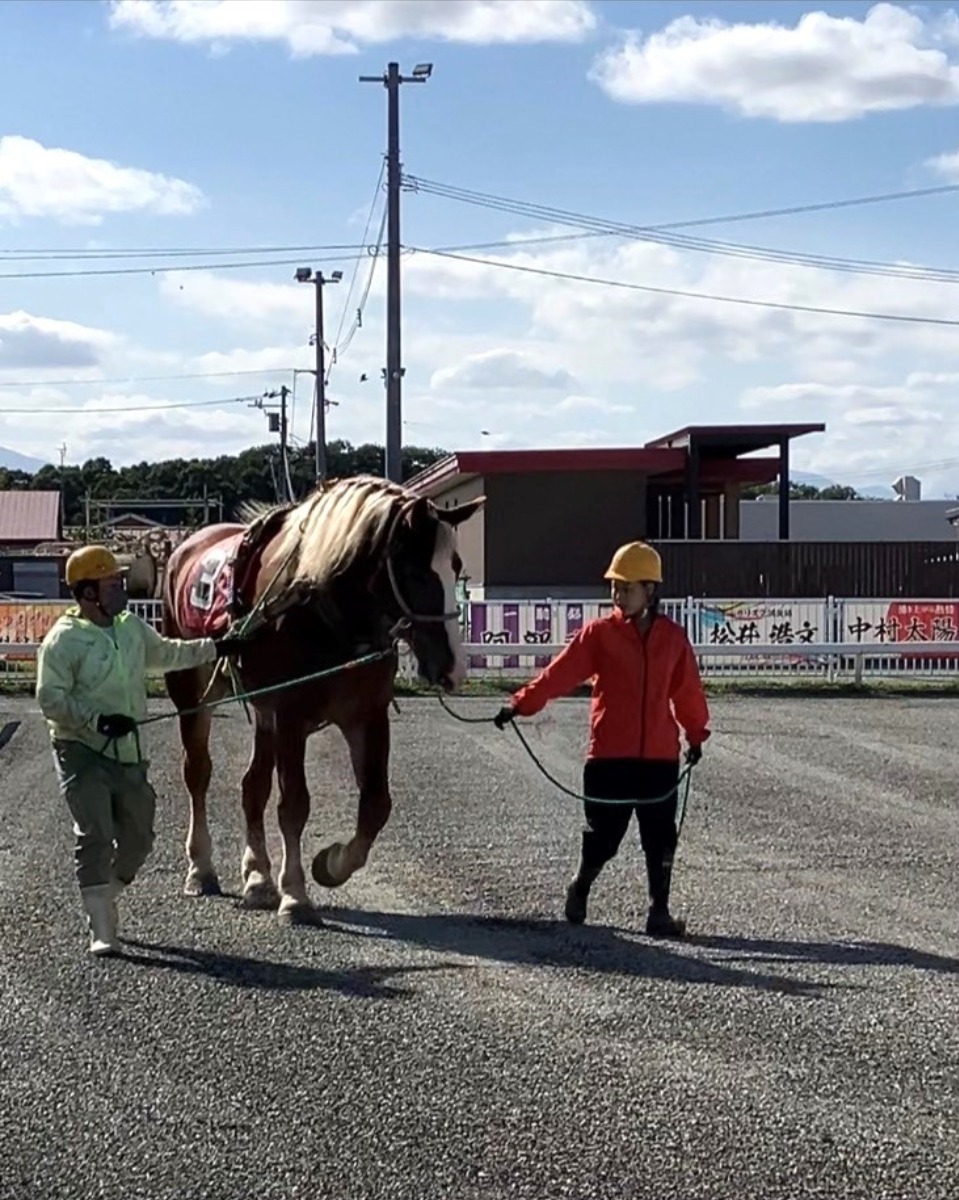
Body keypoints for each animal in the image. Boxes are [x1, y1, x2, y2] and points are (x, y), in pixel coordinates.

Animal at [162, 472, 487, 921]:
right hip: (192, 690)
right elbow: (294, 805)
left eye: (455, 567)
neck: (328, 611)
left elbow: (376, 805)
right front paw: (295, 892)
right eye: (414, 572)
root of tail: (188, 546)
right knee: (198, 773)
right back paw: (201, 867)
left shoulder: (367, 714)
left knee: (252, 787)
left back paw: (258, 876)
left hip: (264, 711)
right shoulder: (289, 714)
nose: (453, 666)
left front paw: (331, 864)